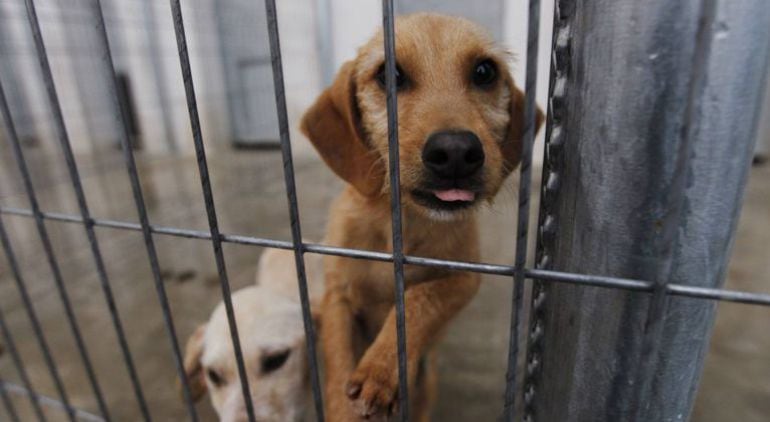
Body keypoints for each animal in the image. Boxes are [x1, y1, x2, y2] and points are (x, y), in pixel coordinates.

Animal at [298, 13, 540, 422]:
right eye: (388, 74)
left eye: (485, 71)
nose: (456, 152)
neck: (401, 226)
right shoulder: (337, 295)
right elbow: (339, 355)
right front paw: (344, 406)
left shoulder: (464, 279)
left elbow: (418, 298)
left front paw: (381, 369)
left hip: (427, 384)